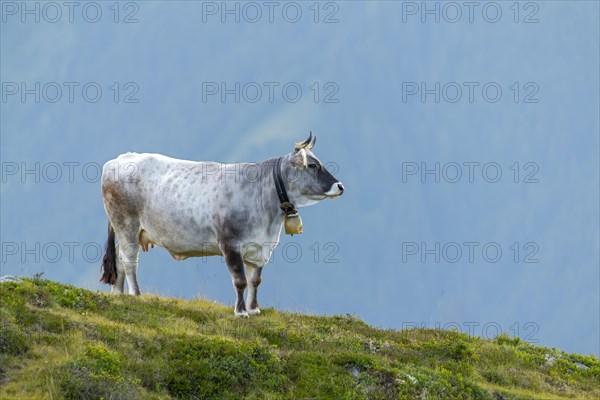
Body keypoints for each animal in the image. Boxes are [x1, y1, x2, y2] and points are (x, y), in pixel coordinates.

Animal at [98, 133, 342, 318]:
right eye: (313, 165)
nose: (340, 186)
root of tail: (120, 158)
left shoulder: (260, 247)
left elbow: (255, 280)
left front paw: (254, 309)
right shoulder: (230, 244)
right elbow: (240, 281)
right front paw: (241, 312)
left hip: (128, 230)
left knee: (118, 259)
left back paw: (118, 294)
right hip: (126, 224)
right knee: (129, 260)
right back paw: (136, 294)